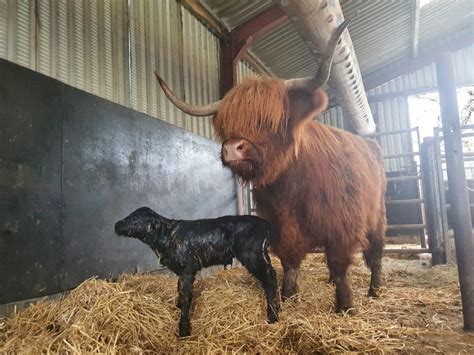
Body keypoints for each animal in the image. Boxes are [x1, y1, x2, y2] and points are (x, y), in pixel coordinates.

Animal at [114, 207, 278, 338]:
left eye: (134, 218)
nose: (117, 225)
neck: (167, 236)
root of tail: (266, 225)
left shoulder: (188, 269)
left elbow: (186, 296)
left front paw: (184, 330)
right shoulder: (181, 271)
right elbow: (179, 289)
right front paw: (177, 307)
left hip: (251, 254)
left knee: (269, 278)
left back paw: (273, 317)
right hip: (262, 253)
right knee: (273, 274)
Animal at [156, 18, 386, 314]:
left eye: (268, 120)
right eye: (227, 124)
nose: (232, 148)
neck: (291, 185)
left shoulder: (341, 224)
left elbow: (339, 262)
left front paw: (345, 305)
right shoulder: (280, 224)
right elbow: (289, 260)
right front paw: (287, 297)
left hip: (377, 215)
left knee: (376, 252)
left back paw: (374, 290)